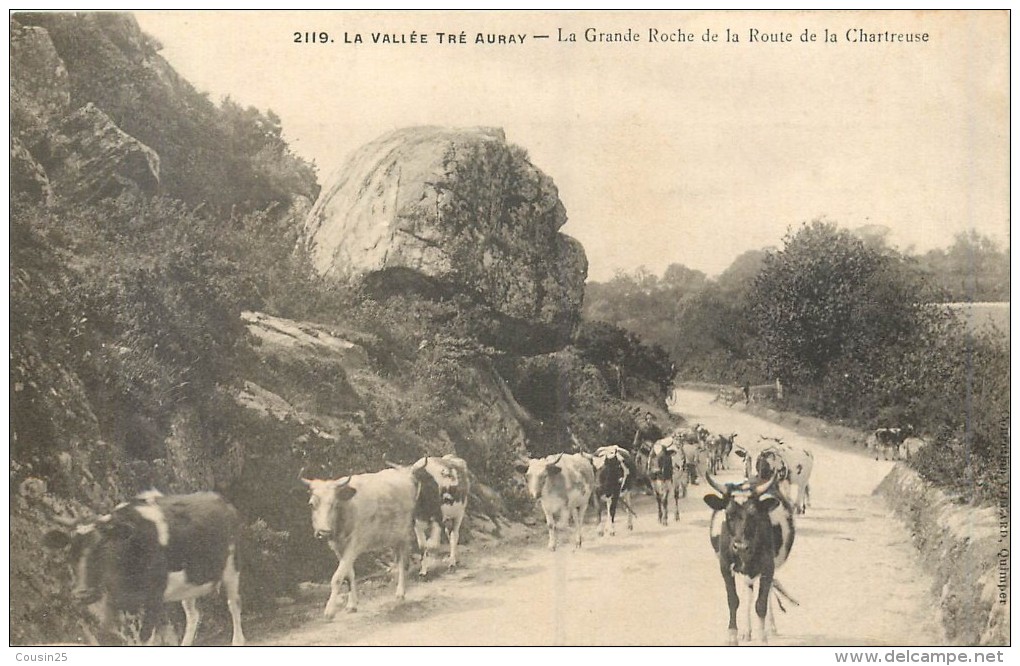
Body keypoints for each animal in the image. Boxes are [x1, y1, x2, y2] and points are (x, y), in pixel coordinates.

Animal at [42, 487, 245, 644]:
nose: (83, 594)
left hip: (232, 568)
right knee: (193, 614)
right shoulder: (116, 602)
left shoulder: (153, 598)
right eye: (70, 552)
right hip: (190, 582)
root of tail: (220, 499)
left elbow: (146, 639)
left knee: (234, 605)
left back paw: (237, 641)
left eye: (103, 548)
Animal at [299, 465, 416, 616]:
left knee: (403, 562)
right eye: (311, 504)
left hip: (405, 533)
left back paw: (400, 592)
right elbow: (349, 575)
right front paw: (351, 605)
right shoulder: (338, 548)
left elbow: (337, 577)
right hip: (393, 537)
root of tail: (403, 473)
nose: (323, 532)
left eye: (335, 504)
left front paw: (329, 610)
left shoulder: (353, 545)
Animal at [705, 473, 791, 644]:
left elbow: (761, 603)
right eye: (729, 514)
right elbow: (733, 600)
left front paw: (762, 636)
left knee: (767, 593)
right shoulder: (725, 566)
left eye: (753, 514)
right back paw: (747, 631)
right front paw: (733, 635)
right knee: (748, 594)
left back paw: (770, 627)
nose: (741, 546)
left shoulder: (768, 567)